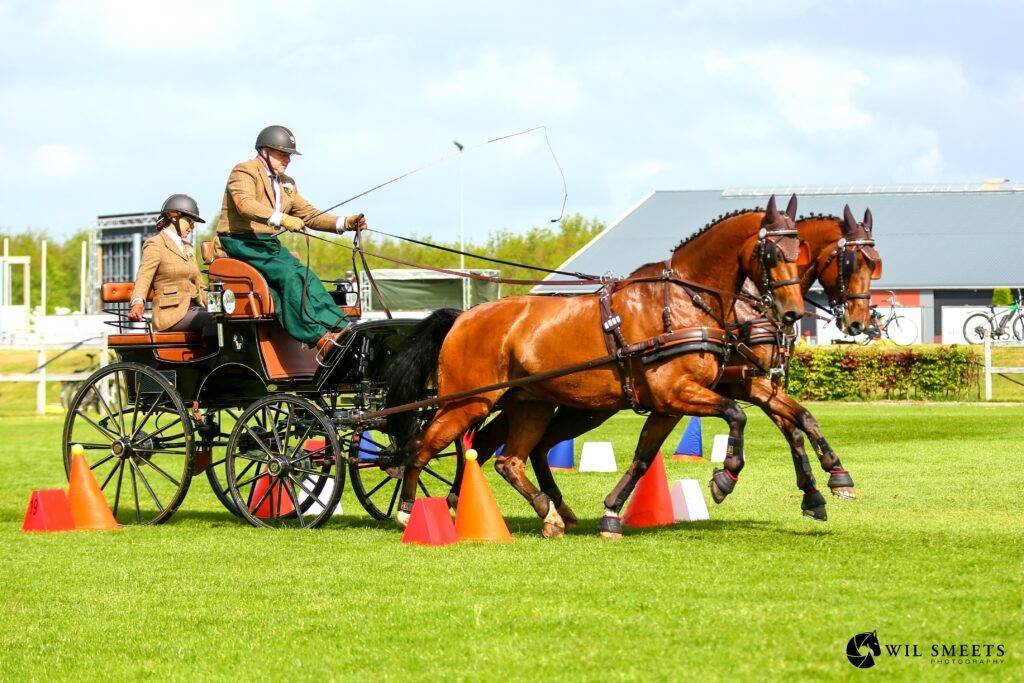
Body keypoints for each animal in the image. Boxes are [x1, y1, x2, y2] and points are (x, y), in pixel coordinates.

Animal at [386, 194, 807, 538]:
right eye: (772, 253)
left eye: (800, 250)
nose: (792, 314)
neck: (680, 301)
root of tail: (463, 315)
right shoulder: (675, 393)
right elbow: (737, 413)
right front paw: (725, 477)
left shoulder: (669, 404)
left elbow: (645, 457)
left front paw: (612, 516)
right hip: (467, 402)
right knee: (422, 446)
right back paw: (409, 512)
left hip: (531, 405)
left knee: (508, 460)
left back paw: (548, 514)